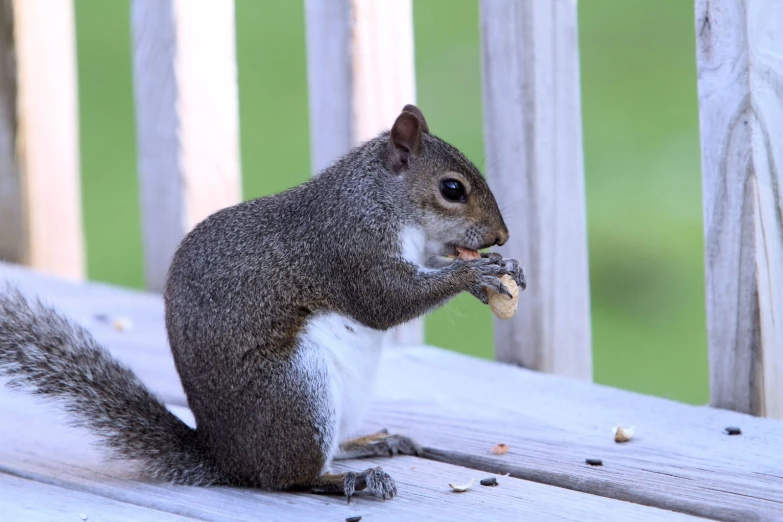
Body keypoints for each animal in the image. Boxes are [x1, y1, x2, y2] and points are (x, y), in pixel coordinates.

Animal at [1, 104, 528, 500]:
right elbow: (385, 301)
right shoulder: (348, 246)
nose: (502, 235)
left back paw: (372, 445)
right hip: (298, 391)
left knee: (326, 451)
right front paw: (473, 273)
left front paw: (504, 268)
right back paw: (349, 479)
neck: (380, 198)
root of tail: (229, 459)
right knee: (289, 477)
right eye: (452, 189)